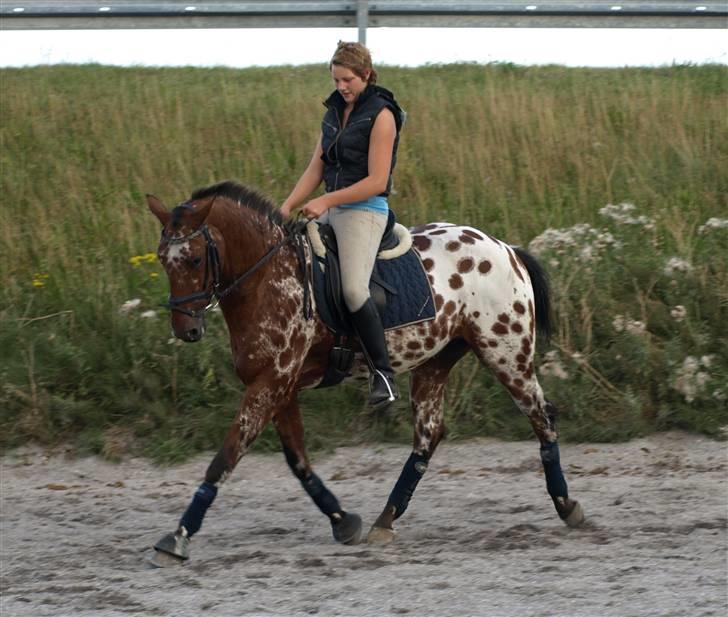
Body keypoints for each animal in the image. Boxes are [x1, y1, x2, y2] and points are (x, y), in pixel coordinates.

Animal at [145, 178, 584, 564]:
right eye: (162, 259)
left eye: (194, 259)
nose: (186, 330)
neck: (268, 278)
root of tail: (505, 248)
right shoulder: (279, 386)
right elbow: (298, 460)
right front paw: (342, 520)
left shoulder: (271, 383)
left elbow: (226, 457)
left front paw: (178, 537)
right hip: (434, 363)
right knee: (429, 436)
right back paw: (385, 520)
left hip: (505, 352)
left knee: (542, 417)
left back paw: (567, 506)